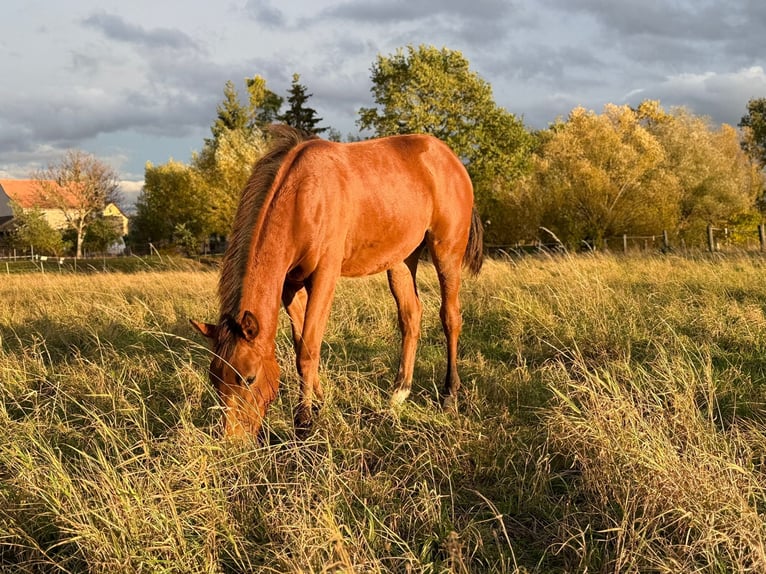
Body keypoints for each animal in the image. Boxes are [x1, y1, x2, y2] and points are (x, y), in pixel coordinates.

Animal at [191, 124, 483, 437]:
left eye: (249, 377)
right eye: (214, 378)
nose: (234, 439)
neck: (303, 197)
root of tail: (450, 158)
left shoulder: (324, 277)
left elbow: (308, 349)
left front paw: (304, 421)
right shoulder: (290, 287)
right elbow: (301, 345)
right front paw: (320, 403)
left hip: (446, 251)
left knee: (450, 317)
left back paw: (450, 394)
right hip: (402, 260)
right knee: (411, 317)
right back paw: (398, 394)